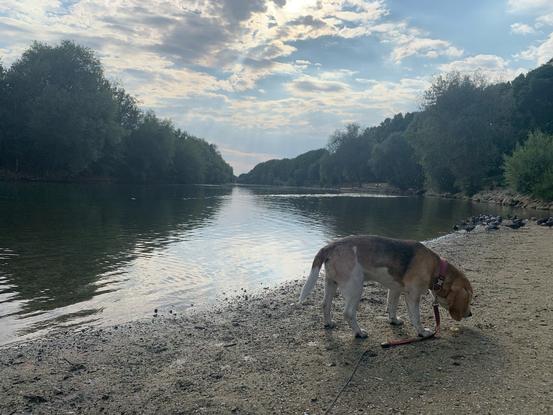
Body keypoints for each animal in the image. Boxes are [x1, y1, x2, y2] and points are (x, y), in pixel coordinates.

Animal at [300, 237, 472, 338]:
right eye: (469, 298)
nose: (470, 314)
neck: (437, 269)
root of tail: (330, 246)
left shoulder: (395, 289)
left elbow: (392, 306)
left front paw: (393, 320)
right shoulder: (412, 296)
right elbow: (416, 317)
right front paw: (422, 332)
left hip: (331, 283)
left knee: (325, 304)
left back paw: (328, 323)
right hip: (355, 287)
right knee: (348, 313)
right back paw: (359, 332)